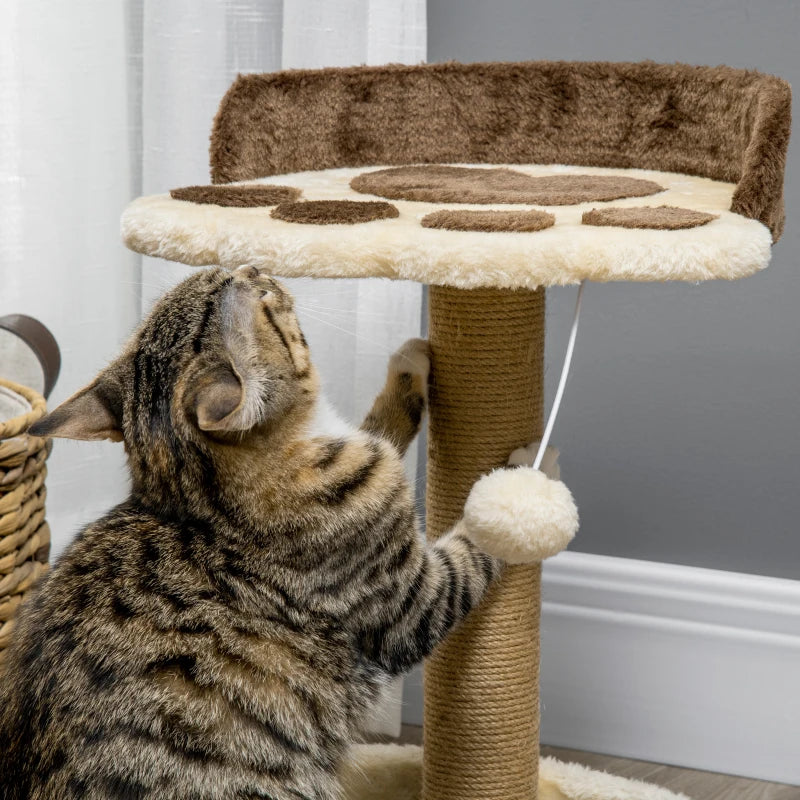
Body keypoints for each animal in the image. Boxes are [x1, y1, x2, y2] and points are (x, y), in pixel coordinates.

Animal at [0, 268, 500, 800]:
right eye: (263, 300)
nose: (253, 269)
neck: (202, 507)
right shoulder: (409, 606)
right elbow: (471, 556)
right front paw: (515, 492)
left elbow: (381, 428)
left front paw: (409, 365)